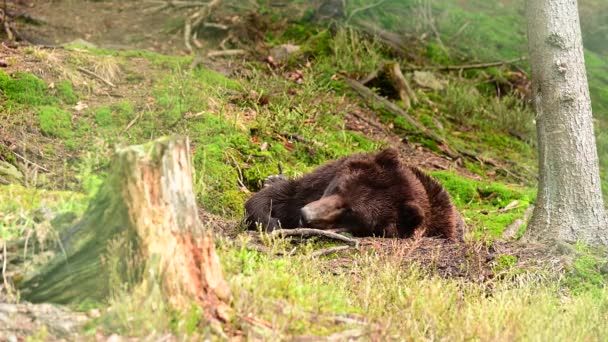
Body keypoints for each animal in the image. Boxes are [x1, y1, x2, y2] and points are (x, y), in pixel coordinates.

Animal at [245, 148, 464, 242]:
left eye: (351, 211)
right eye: (338, 188)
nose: (306, 216)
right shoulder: (318, 183)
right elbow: (282, 194)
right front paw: (272, 222)